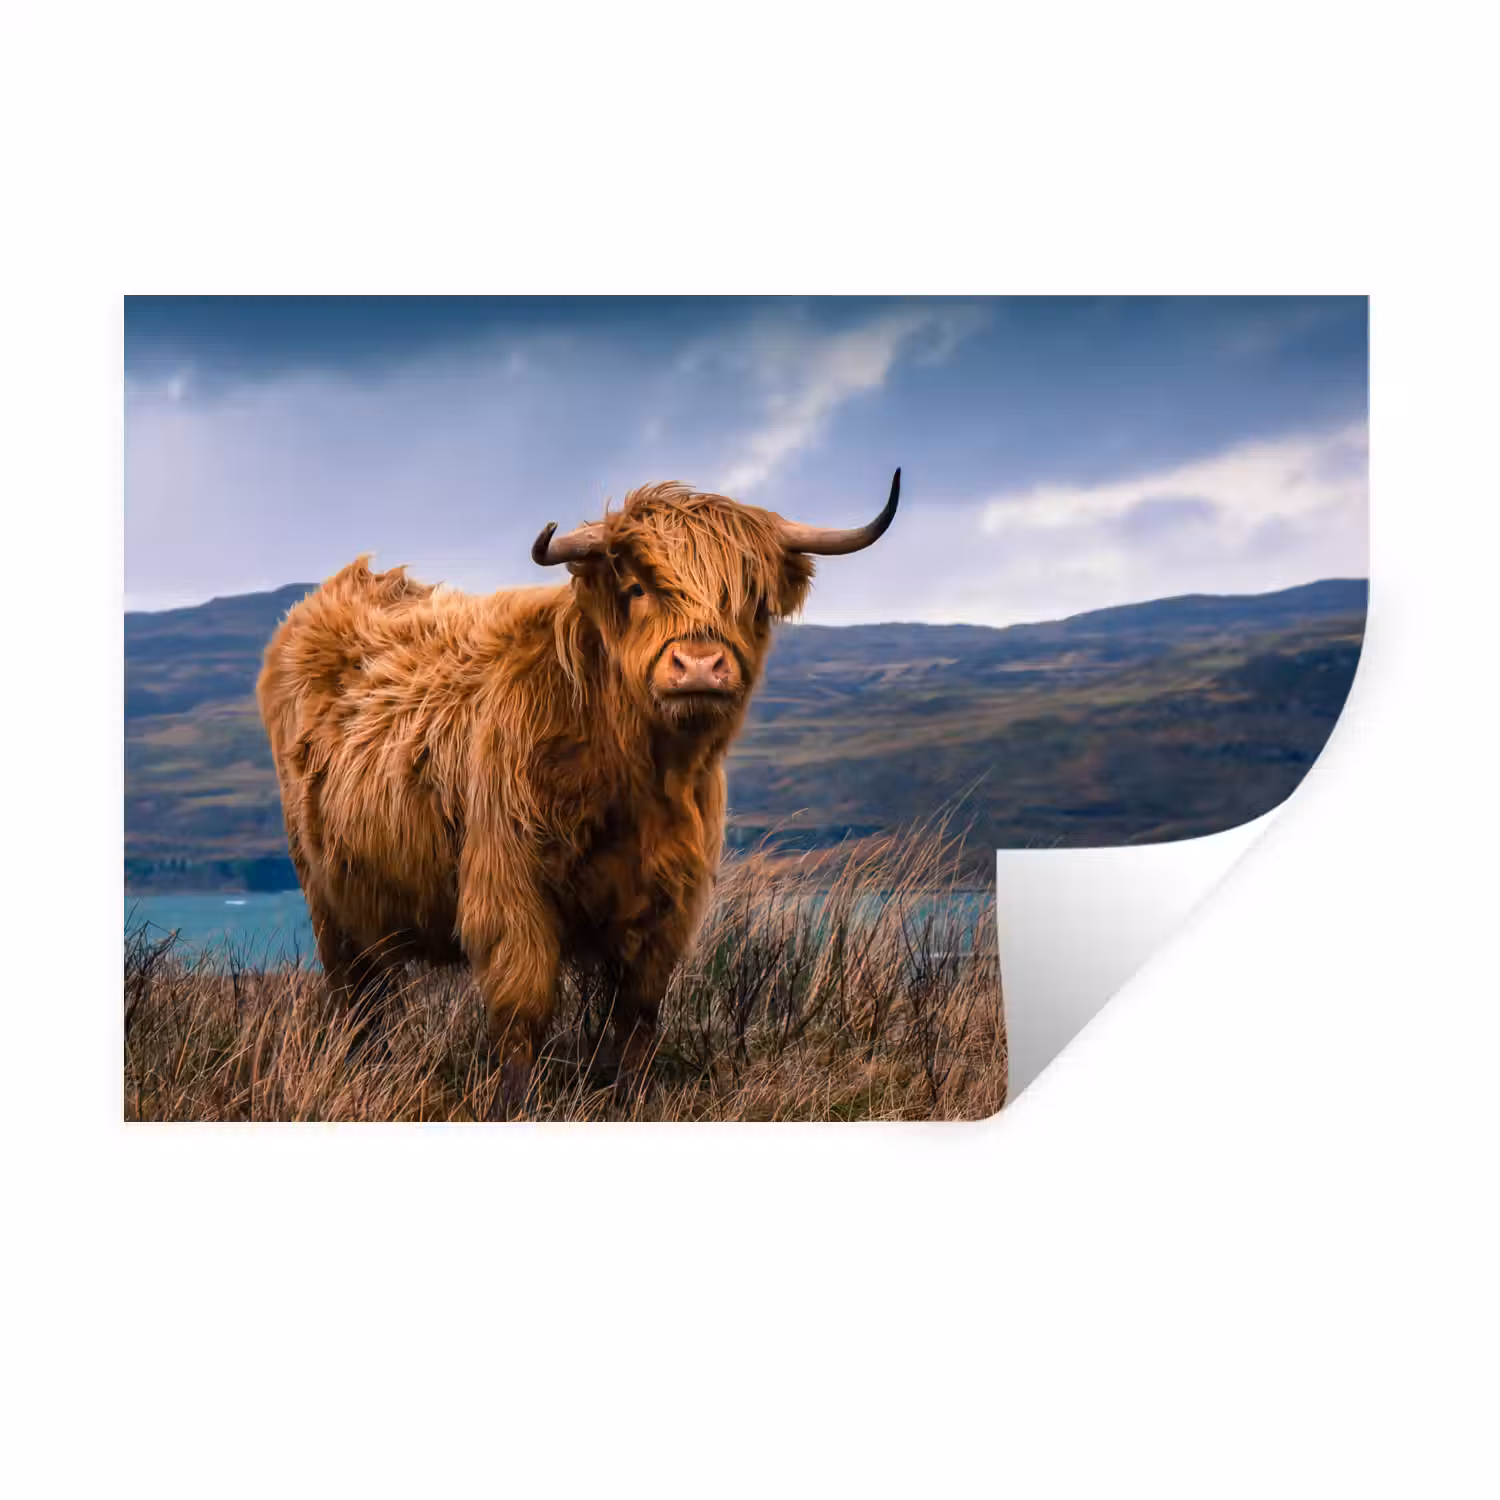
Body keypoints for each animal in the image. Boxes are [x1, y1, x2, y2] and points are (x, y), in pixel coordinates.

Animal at [256, 470, 900, 1111]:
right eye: (637, 588)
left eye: (751, 599)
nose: (698, 665)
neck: (634, 774)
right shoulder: (509, 888)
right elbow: (523, 1010)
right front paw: (514, 1106)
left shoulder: (668, 902)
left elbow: (637, 1015)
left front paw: (631, 1099)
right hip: (327, 897)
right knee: (356, 996)